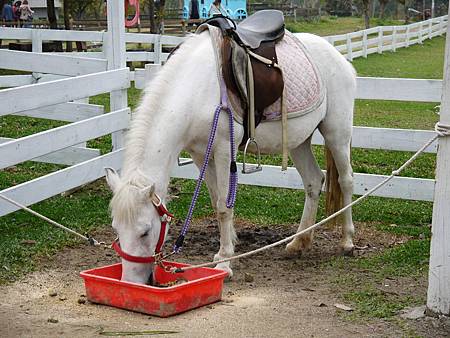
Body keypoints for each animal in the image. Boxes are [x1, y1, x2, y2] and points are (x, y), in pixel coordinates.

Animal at [104, 29, 356, 286]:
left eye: (145, 231)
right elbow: (216, 203)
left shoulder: (225, 151)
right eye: (116, 230)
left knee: (346, 180)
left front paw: (224, 262)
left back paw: (347, 241)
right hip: (299, 142)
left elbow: (224, 207)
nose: (131, 282)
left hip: (337, 132)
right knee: (314, 182)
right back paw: (299, 243)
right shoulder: (201, 155)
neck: (195, 89)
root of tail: (338, 56)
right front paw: (224, 253)